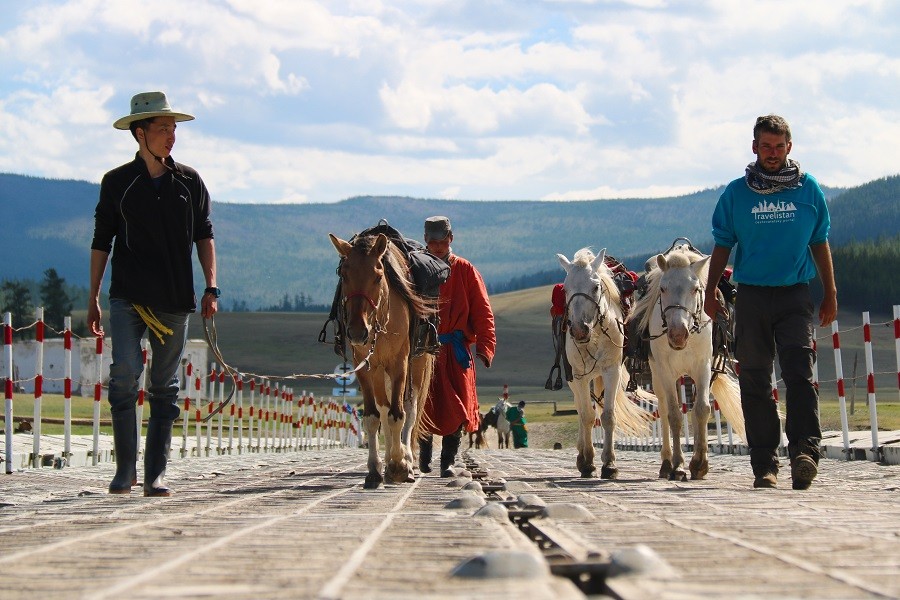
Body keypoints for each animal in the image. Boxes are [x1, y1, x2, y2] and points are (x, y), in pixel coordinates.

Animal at [330, 232, 436, 490]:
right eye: (344, 275)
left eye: (378, 276)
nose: (358, 332)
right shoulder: (365, 366)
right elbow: (373, 416)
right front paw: (375, 470)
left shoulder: (399, 363)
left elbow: (398, 414)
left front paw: (400, 465)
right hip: (379, 371)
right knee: (383, 407)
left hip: (416, 365)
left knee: (410, 408)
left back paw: (407, 459)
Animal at [560, 248, 652, 478]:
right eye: (566, 289)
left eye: (595, 286)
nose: (578, 330)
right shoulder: (579, 376)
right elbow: (587, 415)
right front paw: (587, 462)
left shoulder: (611, 371)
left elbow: (608, 415)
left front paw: (609, 464)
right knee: (581, 409)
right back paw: (581, 454)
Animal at [628, 241, 748, 480]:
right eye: (662, 288)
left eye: (695, 289)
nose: (677, 334)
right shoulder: (665, 370)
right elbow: (674, 415)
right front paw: (678, 466)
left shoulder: (702, 367)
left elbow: (702, 409)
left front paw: (699, 463)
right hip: (659, 375)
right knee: (664, 408)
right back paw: (666, 463)